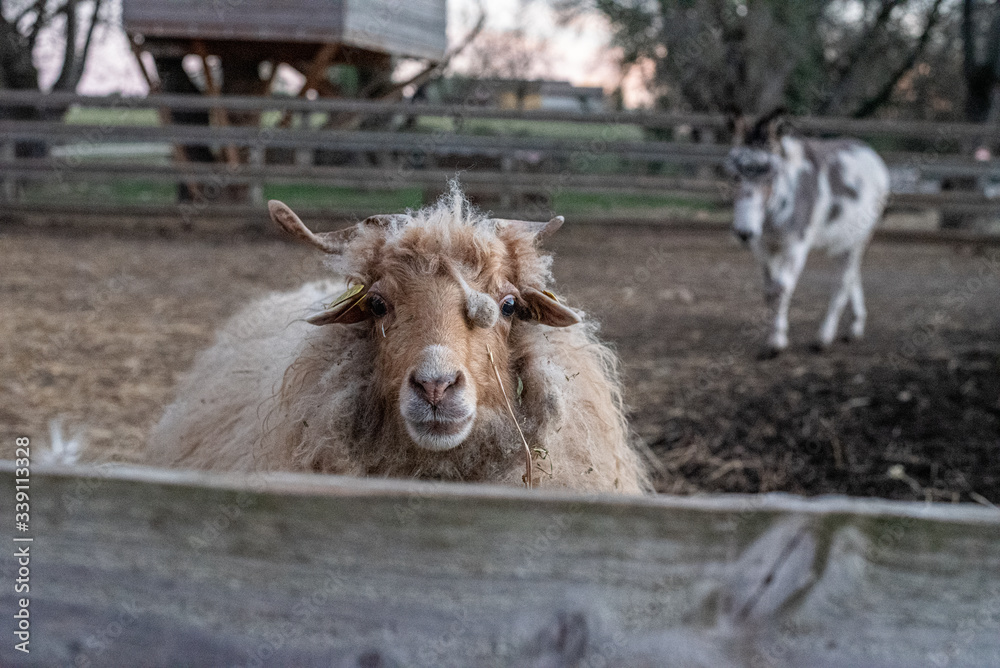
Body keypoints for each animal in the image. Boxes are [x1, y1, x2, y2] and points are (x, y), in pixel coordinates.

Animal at [726, 109, 890, 356]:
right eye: (735, 175)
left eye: (771, 175)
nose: (745, 233)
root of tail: (868, 151)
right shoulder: (765, 246)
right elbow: (769, 291)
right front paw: (774, 337)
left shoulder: (796, 245)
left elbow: (781, 289)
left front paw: (777, 343)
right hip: (842, 239)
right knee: (852, 274)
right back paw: (854, 327)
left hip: (861, 237)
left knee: (843, 281)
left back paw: (824, 338)